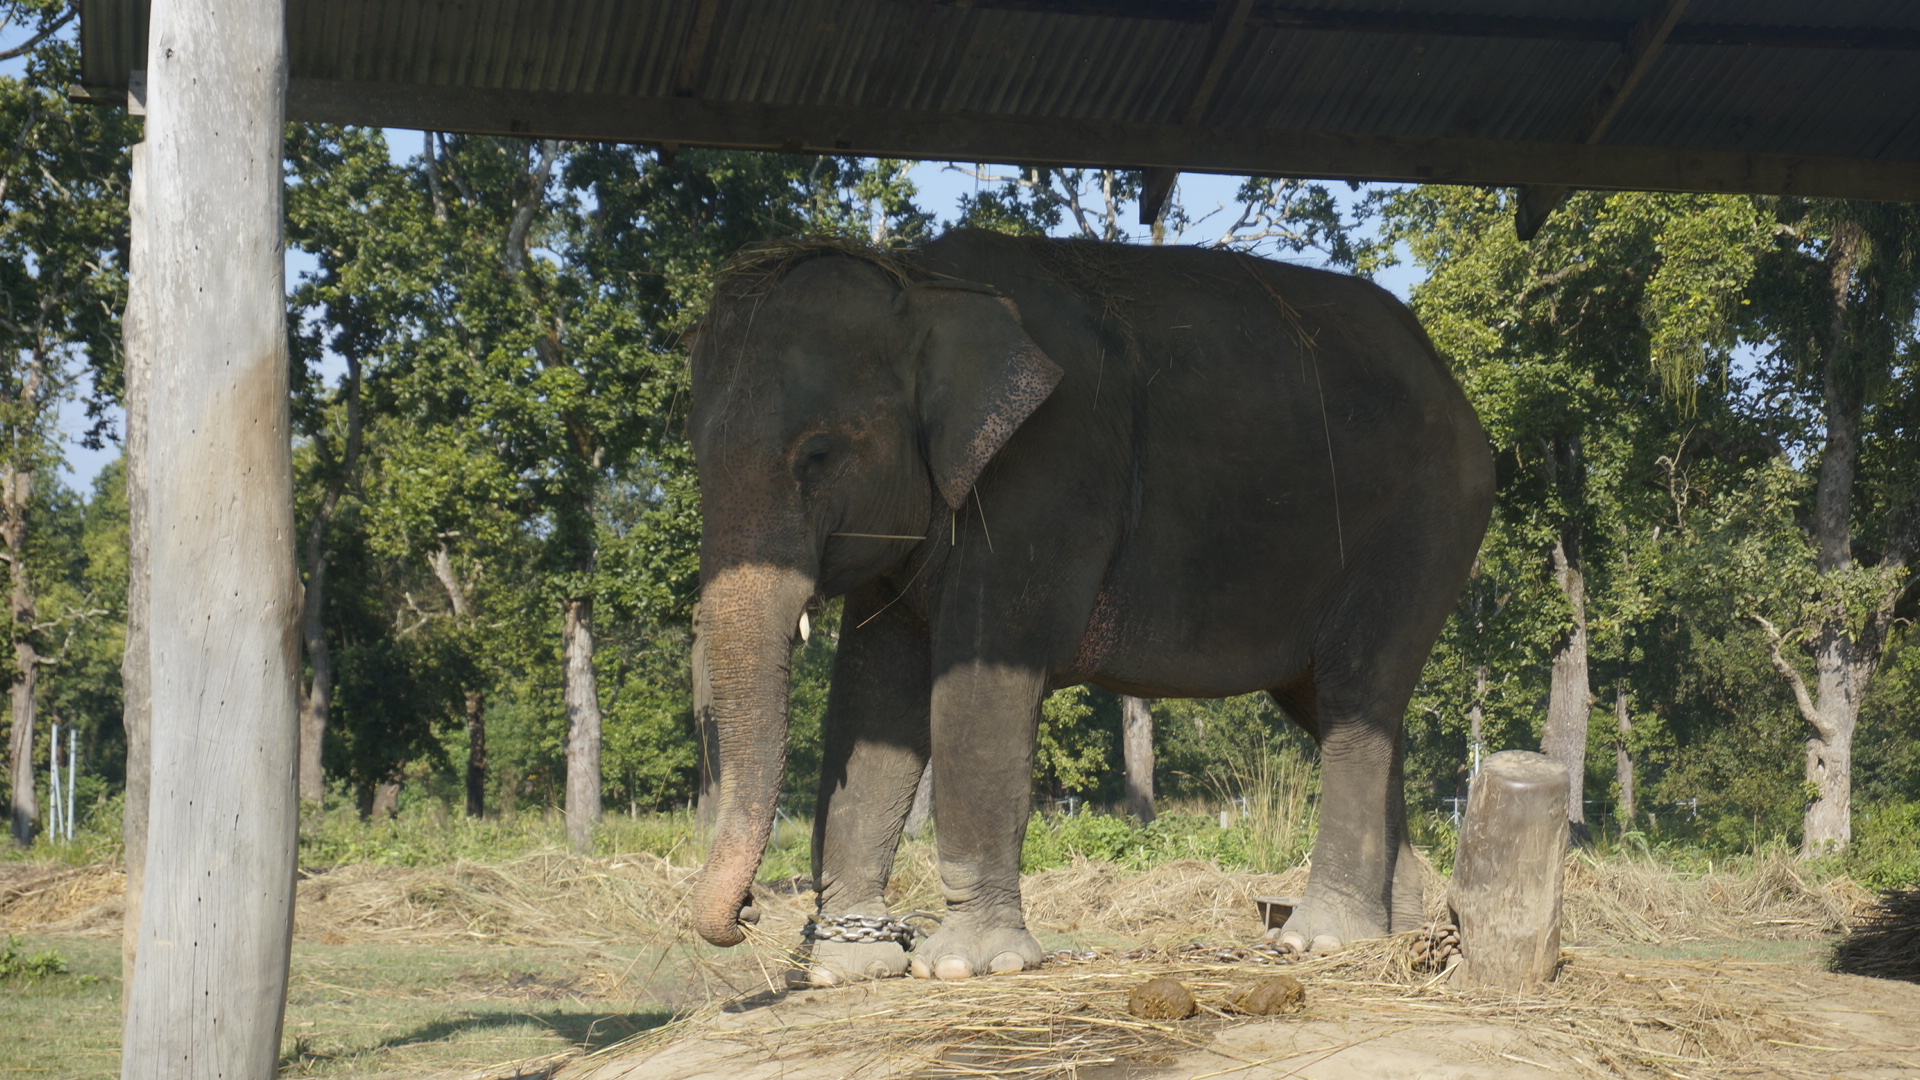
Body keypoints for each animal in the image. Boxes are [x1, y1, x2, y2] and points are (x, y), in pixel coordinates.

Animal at [683, 228, 1489, 983]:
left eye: (816, 457)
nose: (749, 910)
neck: (923, 279)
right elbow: (872, 695)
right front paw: (845, 967)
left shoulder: (1046, 473)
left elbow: (980, 688)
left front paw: (963, 965)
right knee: (1347, 710)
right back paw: (1394, 937)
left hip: (1421, 524)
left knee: (1357, 691)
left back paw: (1316, 942)